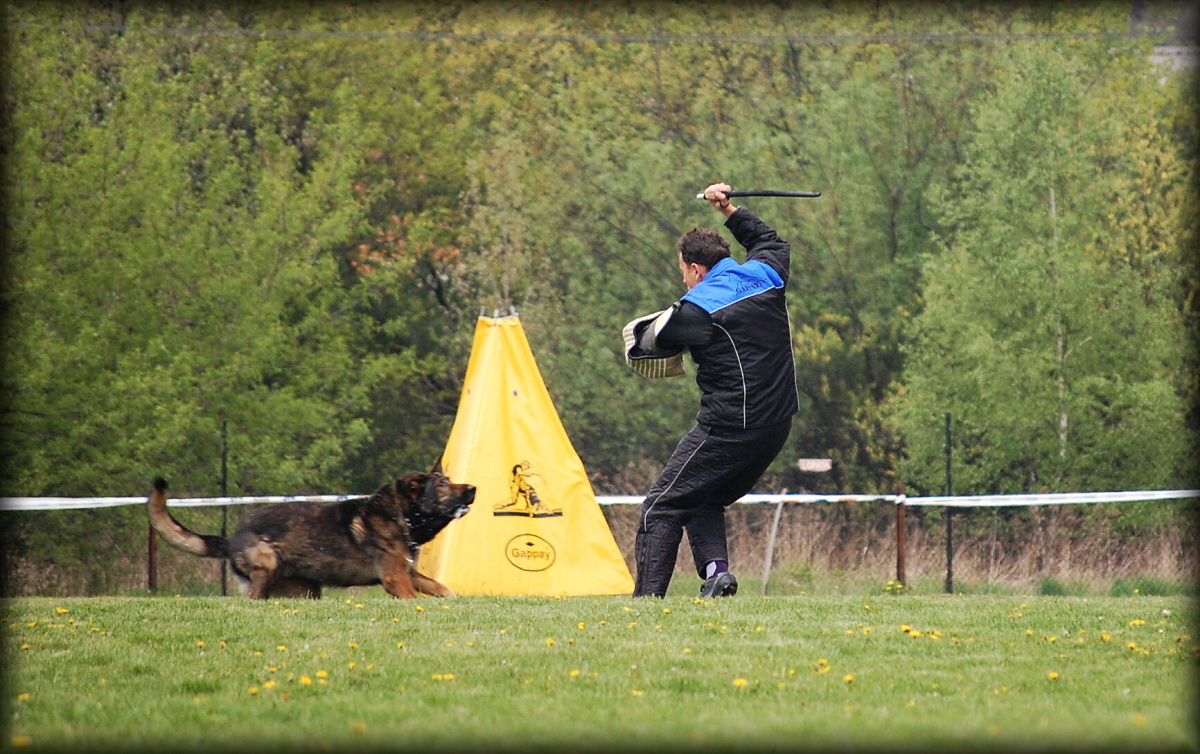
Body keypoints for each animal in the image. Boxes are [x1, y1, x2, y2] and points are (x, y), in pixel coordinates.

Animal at [145, 458, 472, 600]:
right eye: (442, 486)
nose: (473, 489)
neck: (400, 516)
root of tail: (231, 538)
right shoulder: (396, 579)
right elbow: (414, 599)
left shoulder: (408, 573)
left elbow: (443, 590)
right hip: (268, 565)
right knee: (253, 598)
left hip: (307, 589)